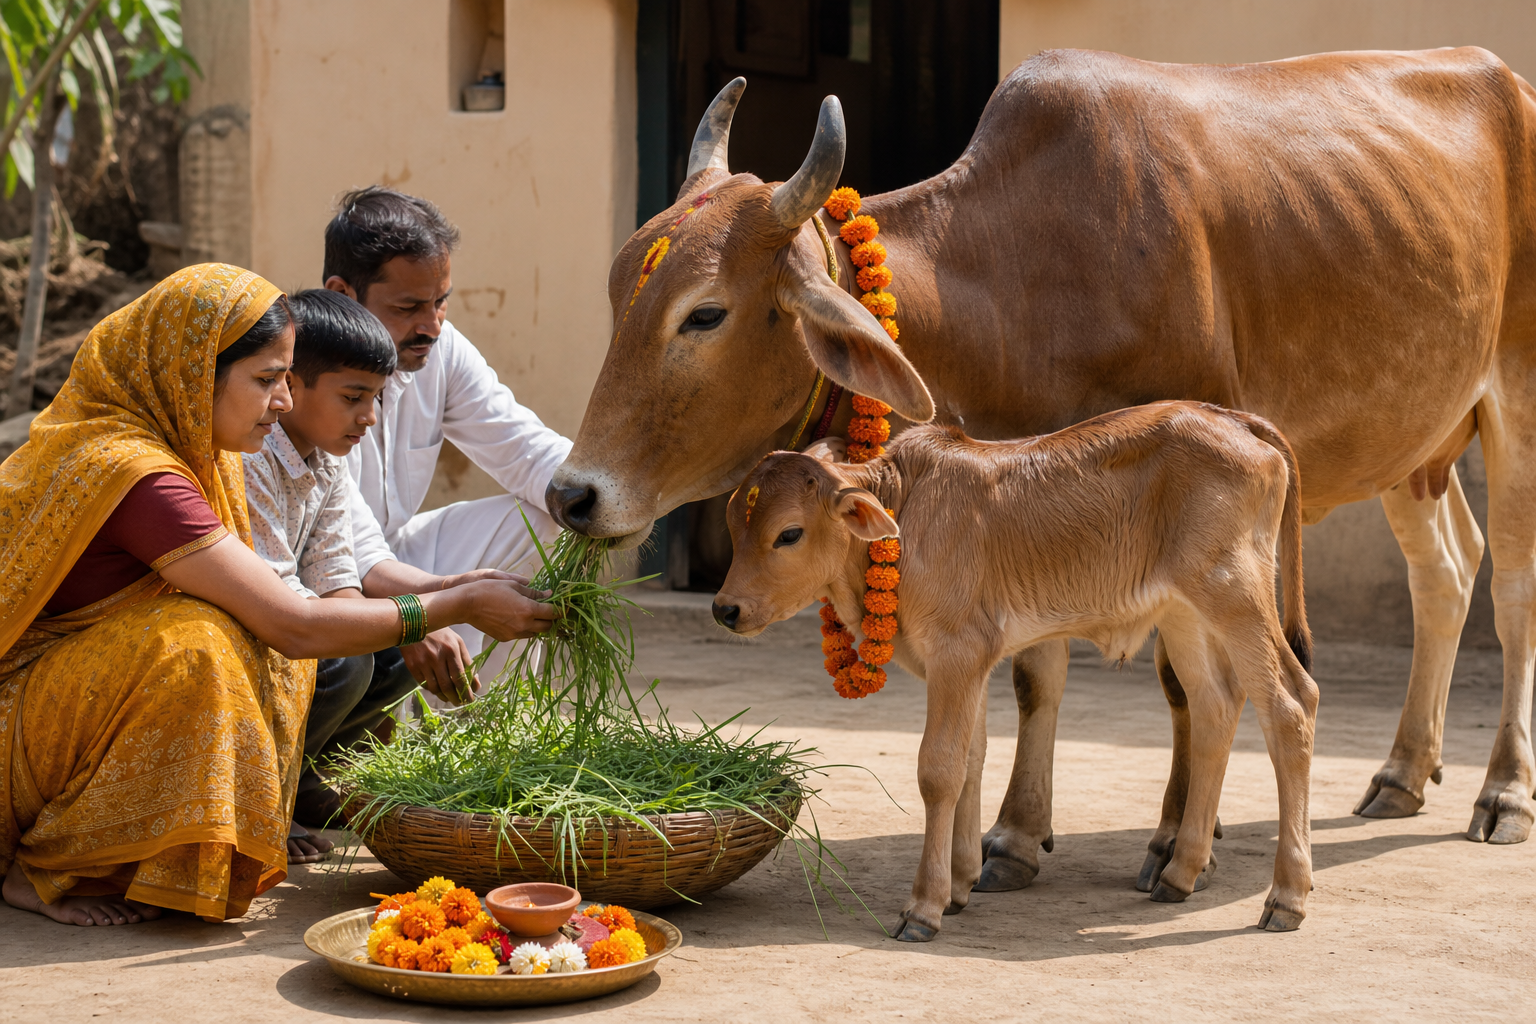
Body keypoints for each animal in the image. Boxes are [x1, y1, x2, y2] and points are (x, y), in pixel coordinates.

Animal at [548, 49, 1536, 880]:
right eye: (615, 290)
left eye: (704, 313)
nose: (572, 494)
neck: (1022, 269)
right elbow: (1034, 671)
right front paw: (1017, 835)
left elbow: (1181, 685)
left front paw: (1175, 837)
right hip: (1415, 445)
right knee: (1445, 573)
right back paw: (1403, 771)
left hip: (1512, 403)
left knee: (1511, 588)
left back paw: (1502, 791)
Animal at [711, 403, 1319, 940]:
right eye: (734, 523)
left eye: (789, 533)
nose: (725, 609)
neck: (906, 514)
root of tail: (1236, 419)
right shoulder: (970, 661)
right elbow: (972, 758)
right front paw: (959, 884)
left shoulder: (957, 651)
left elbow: (939, 768)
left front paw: (924, 907)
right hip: (1184, 612)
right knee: (1216, 706)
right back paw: (1180, 873)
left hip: (1233, 593)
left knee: (1291, 705)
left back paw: (1286, 897)